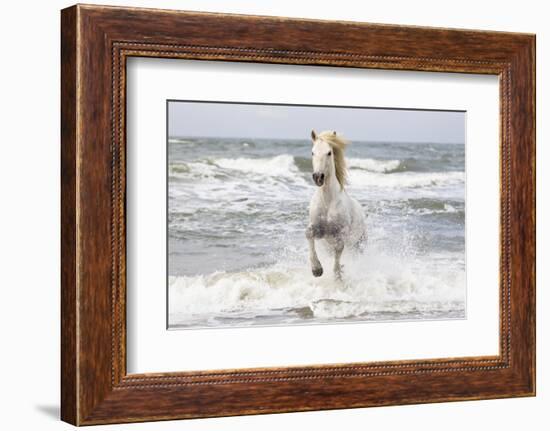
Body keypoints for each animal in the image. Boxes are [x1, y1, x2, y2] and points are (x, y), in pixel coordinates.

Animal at [308, 130, 368, 278]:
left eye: (329, 152)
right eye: (312, 152)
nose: (318, 177)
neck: (327, 202)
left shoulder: (340, 233)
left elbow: (339, 249)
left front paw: (337, 275)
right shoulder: (319, 230)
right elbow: (308, 234)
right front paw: (316, 269)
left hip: (358, 244)